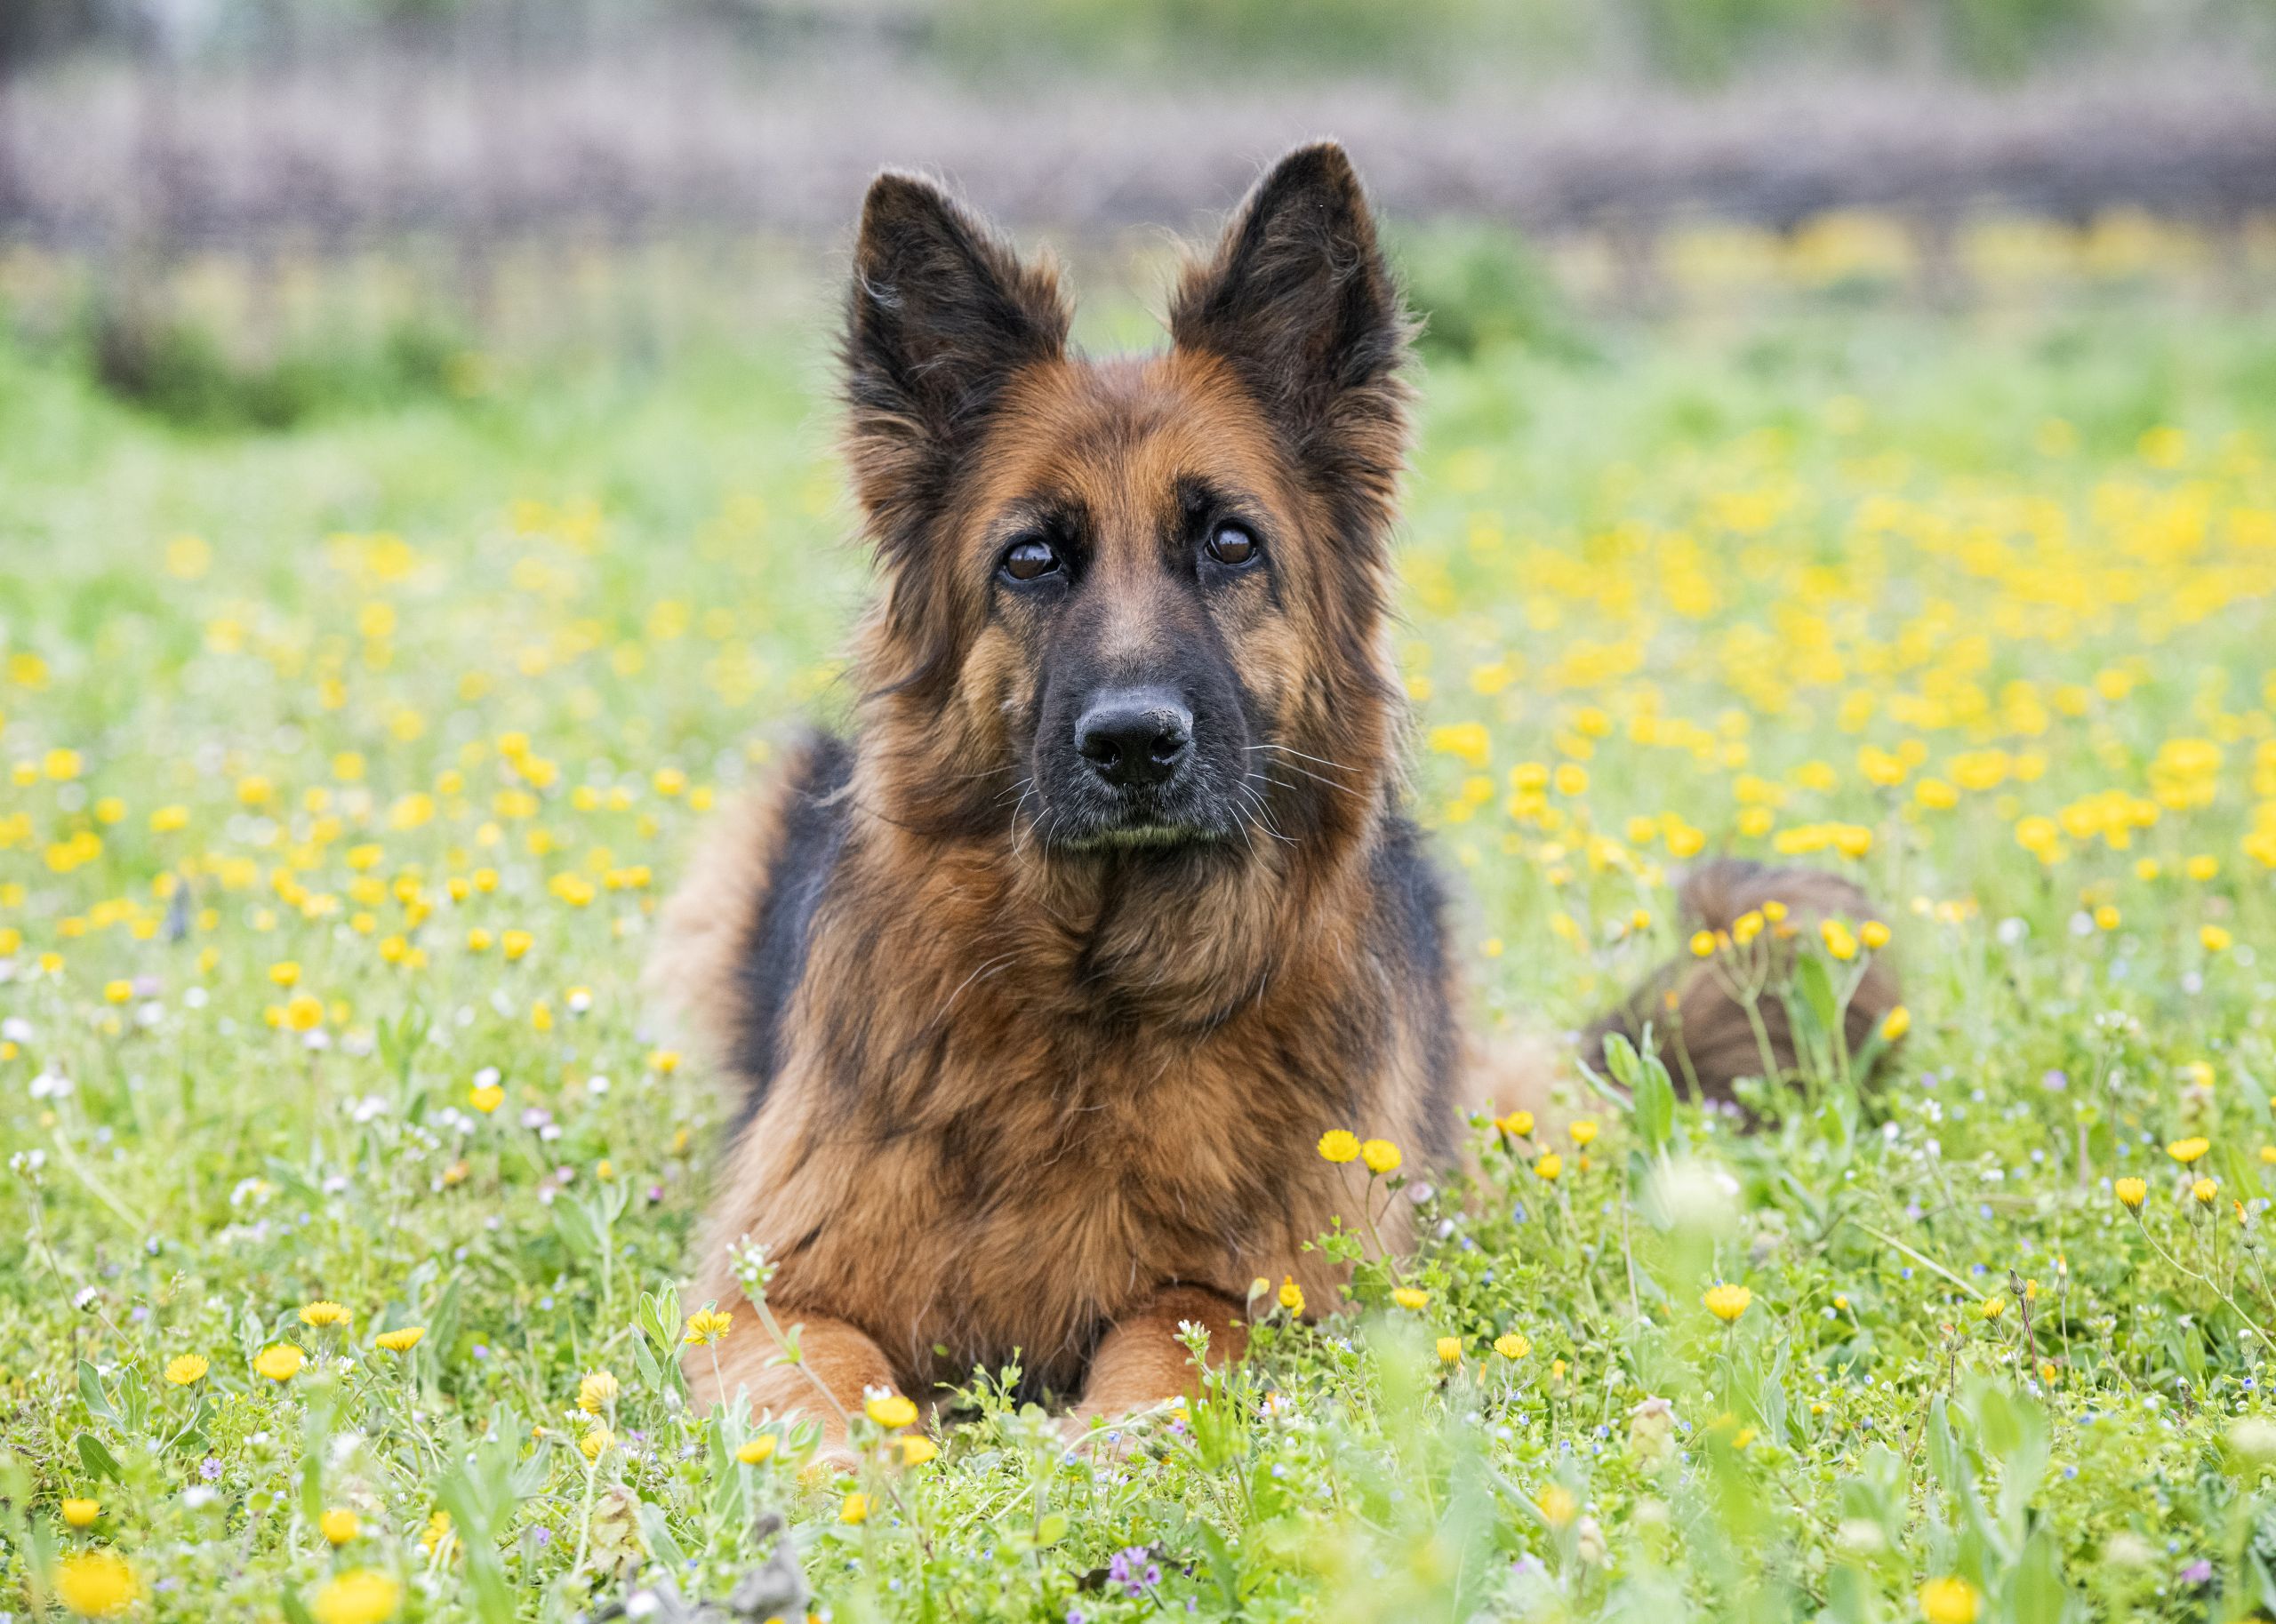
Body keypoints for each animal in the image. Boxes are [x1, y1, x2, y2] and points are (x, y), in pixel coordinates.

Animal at [651, 141, 1893, 1455]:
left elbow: (1170, 1339)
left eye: (1231, 544)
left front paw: (1100, 1455)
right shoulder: (772, 1289)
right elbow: (822, 1398)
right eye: (1030, 558)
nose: (1133, 743)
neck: (1099, 1005)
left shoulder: (1264, 1283)